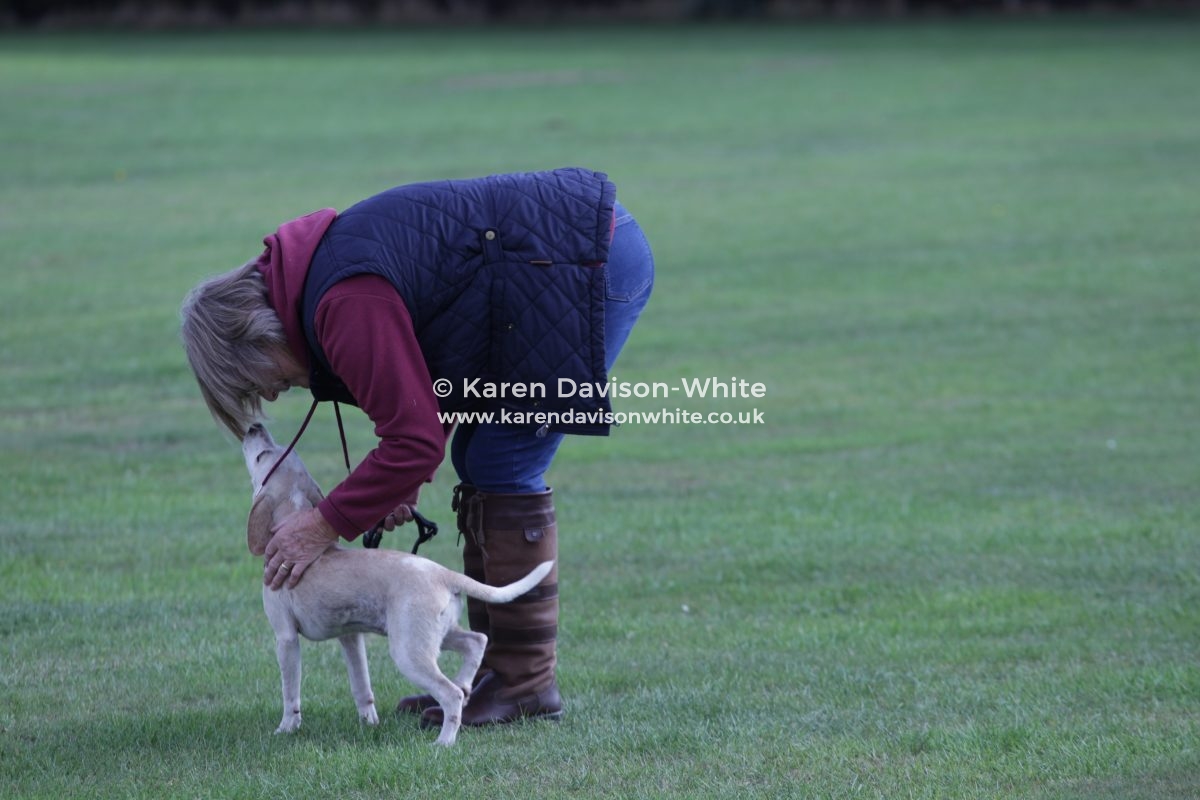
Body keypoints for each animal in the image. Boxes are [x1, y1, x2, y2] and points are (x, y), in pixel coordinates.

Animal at [241, 422, 553, 746]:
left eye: (262, 456)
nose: (254, 426)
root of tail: (442, 573)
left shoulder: (286, 638)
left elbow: (290, 692)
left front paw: (286, 728)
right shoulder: (351, 637)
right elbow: (361, 686)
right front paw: (369, 723)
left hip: (408, 651)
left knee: (450, 694)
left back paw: (444, 741)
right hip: (432, 636)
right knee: (476, 641)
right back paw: (466, 685)